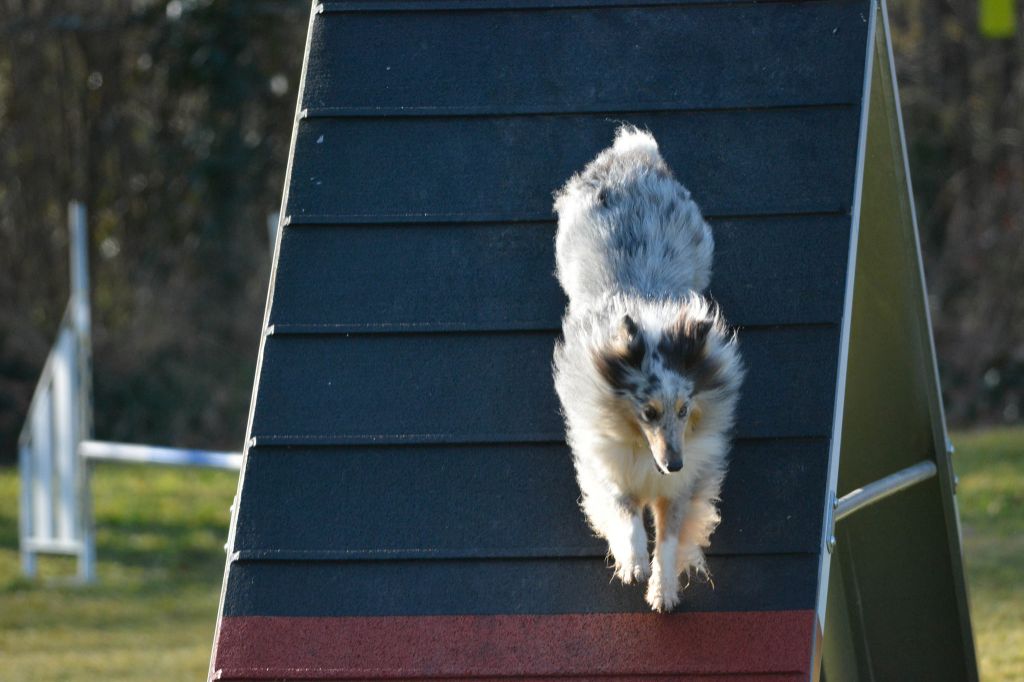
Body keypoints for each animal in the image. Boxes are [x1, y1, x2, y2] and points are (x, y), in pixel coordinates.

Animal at [552, 127, 745, 610]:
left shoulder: (686, 482)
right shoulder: (606, 459)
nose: (672, 463)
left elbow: (672, 536)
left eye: (684, 409)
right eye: (648, 412)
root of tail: (633, 156)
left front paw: (663, 590)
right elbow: (624, 511)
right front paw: (634, 563)